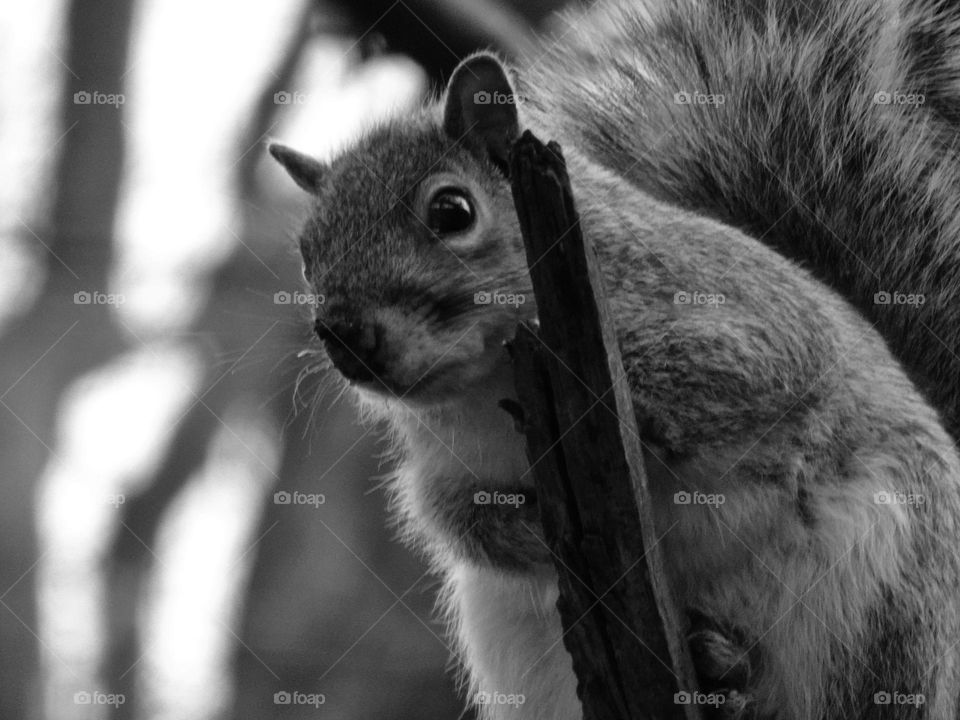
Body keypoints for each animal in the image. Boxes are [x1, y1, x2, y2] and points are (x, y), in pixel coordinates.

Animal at [266, 1, 960, 720]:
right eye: (307, 254)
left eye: (451, 211)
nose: (345, 335)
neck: (485, 383)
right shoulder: (445, 467)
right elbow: (457, 521)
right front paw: (533, 531)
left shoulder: (758, 323)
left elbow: (740, 375)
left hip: (893, 597)